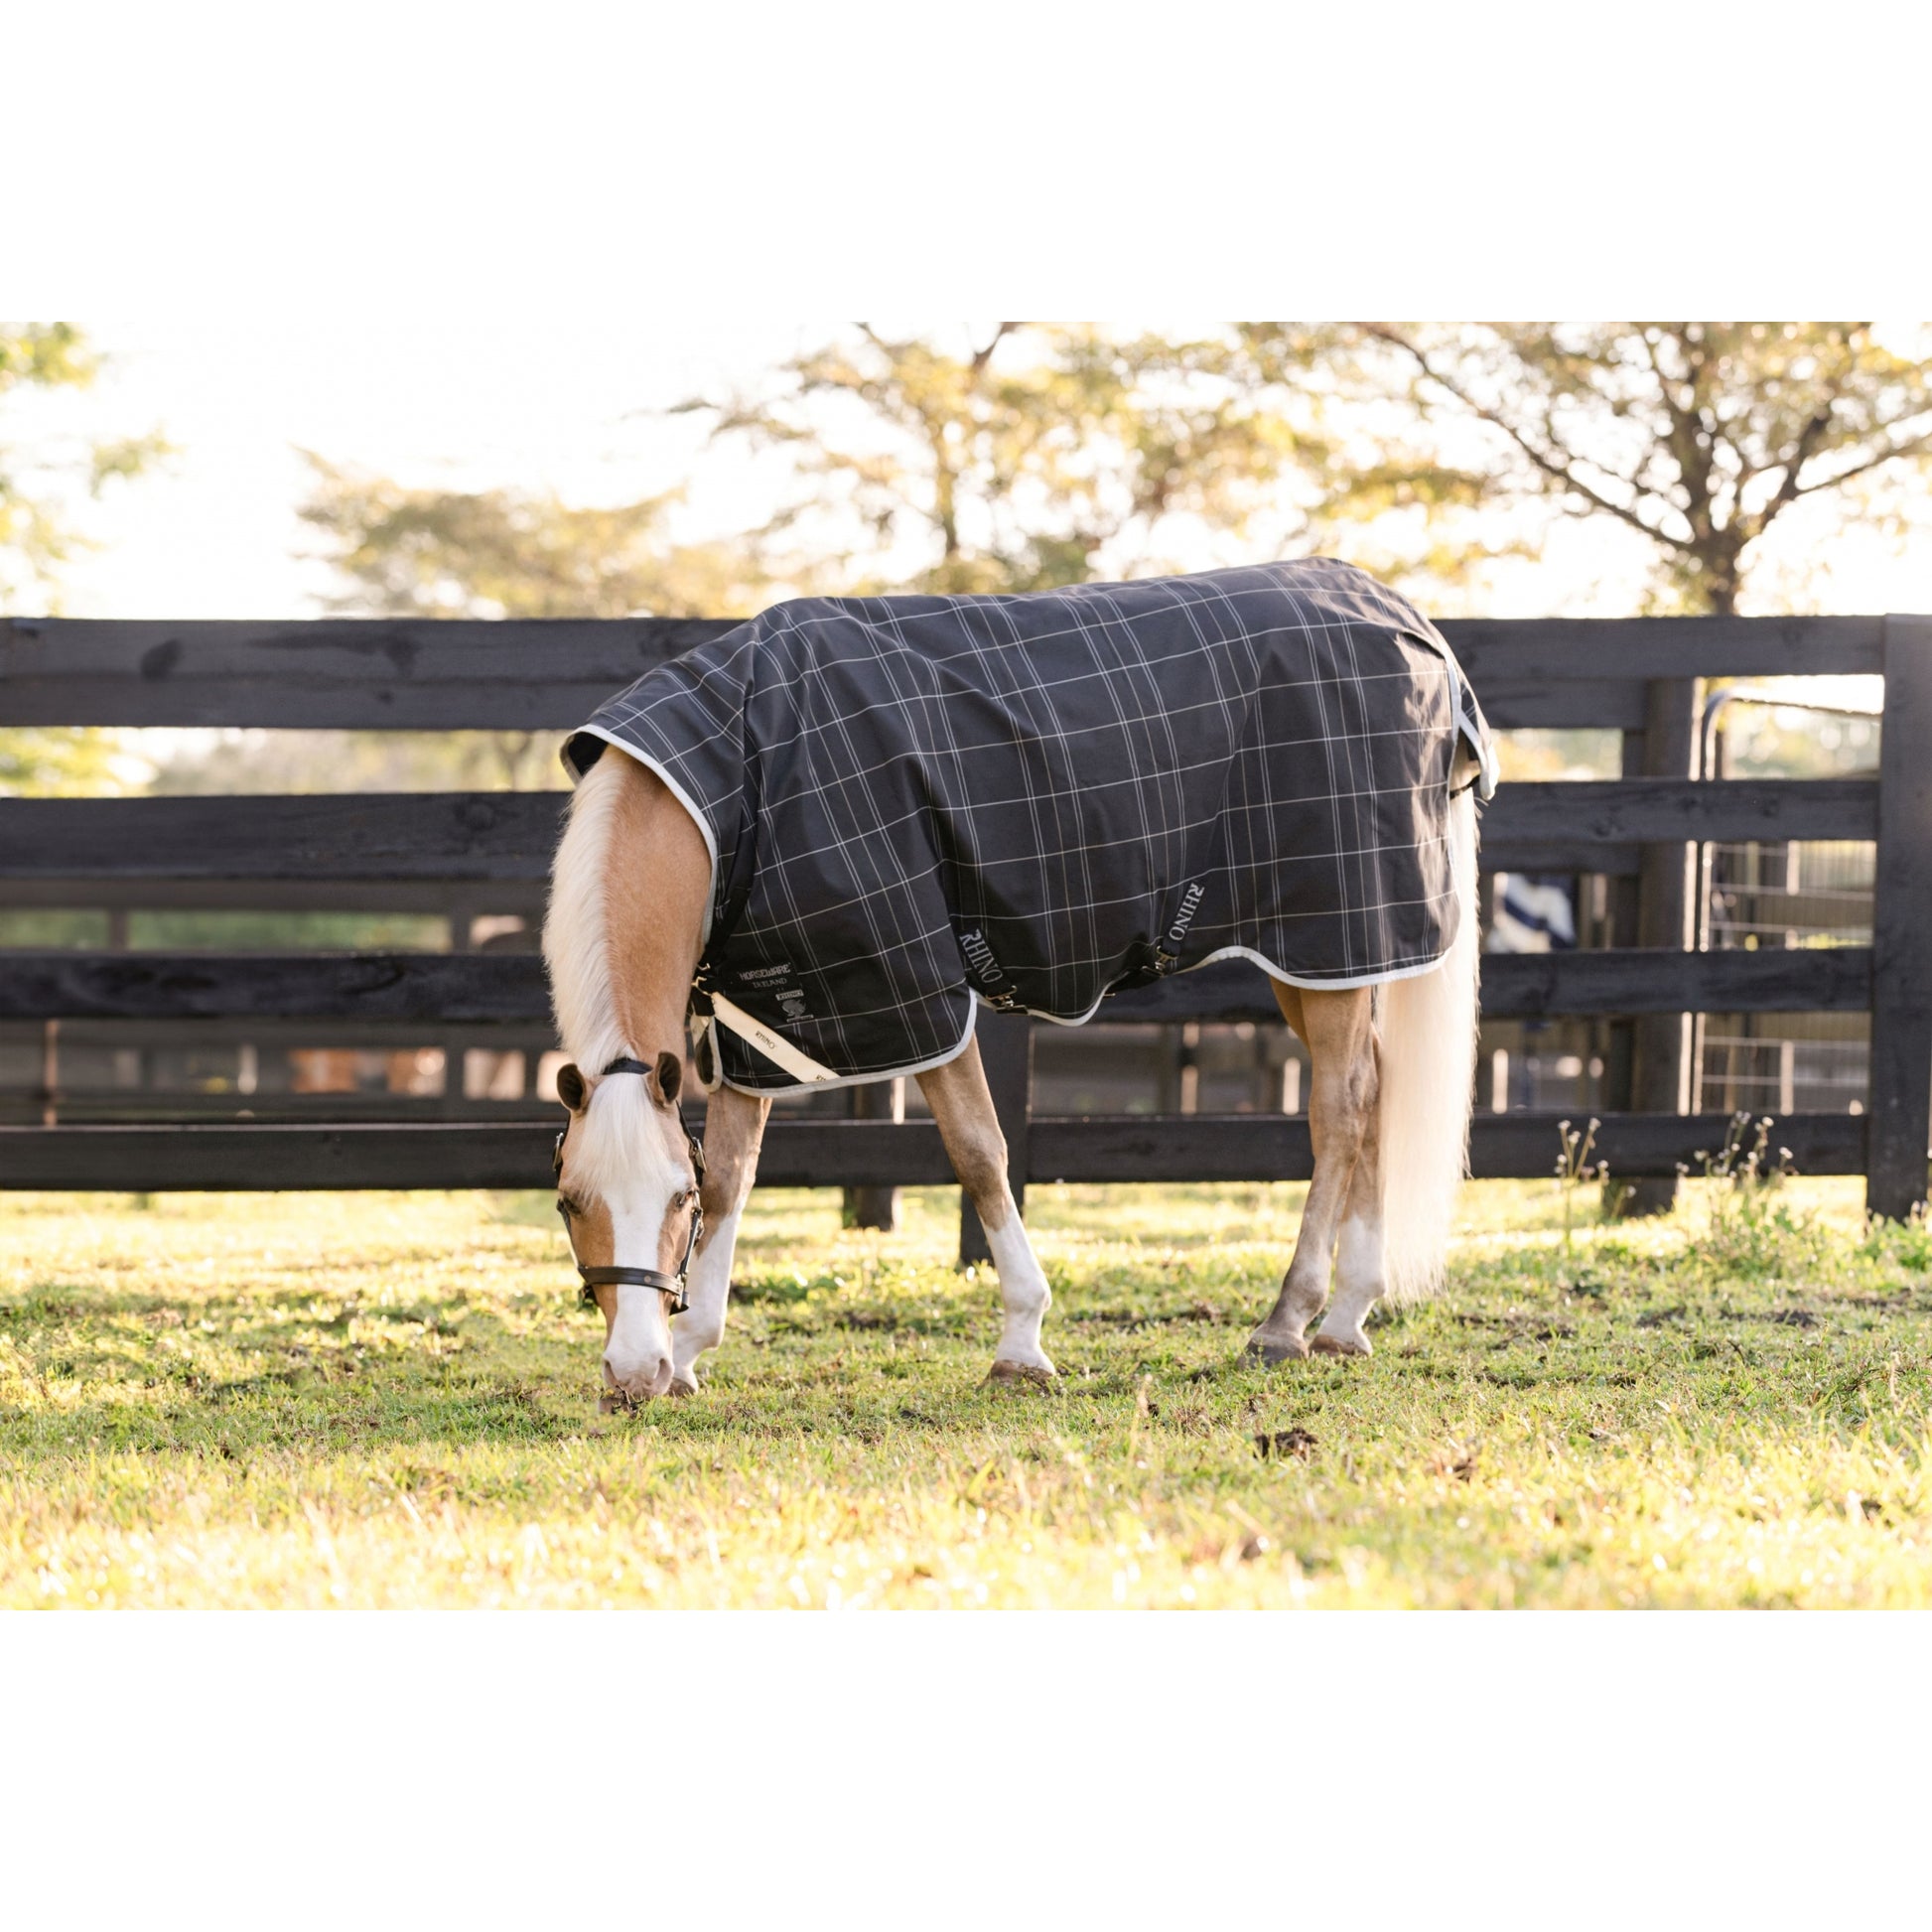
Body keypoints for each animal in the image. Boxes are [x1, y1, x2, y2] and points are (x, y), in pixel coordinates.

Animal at [541, 561, 1491, 1406]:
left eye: (672, 1199)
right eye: (569, 1202)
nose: (632, 1375)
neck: (739, 782)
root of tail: (1411, 624)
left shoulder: (914, 992)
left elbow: (979, 1151)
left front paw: (1022, 1345)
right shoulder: (768, 1014)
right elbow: (737, 1174)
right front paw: (692, 1353)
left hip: (1334, 941)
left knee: (1339, 1108)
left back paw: (1287, 1322)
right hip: (1317, 957)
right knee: (1371, 1090)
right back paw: (1347, 1320)